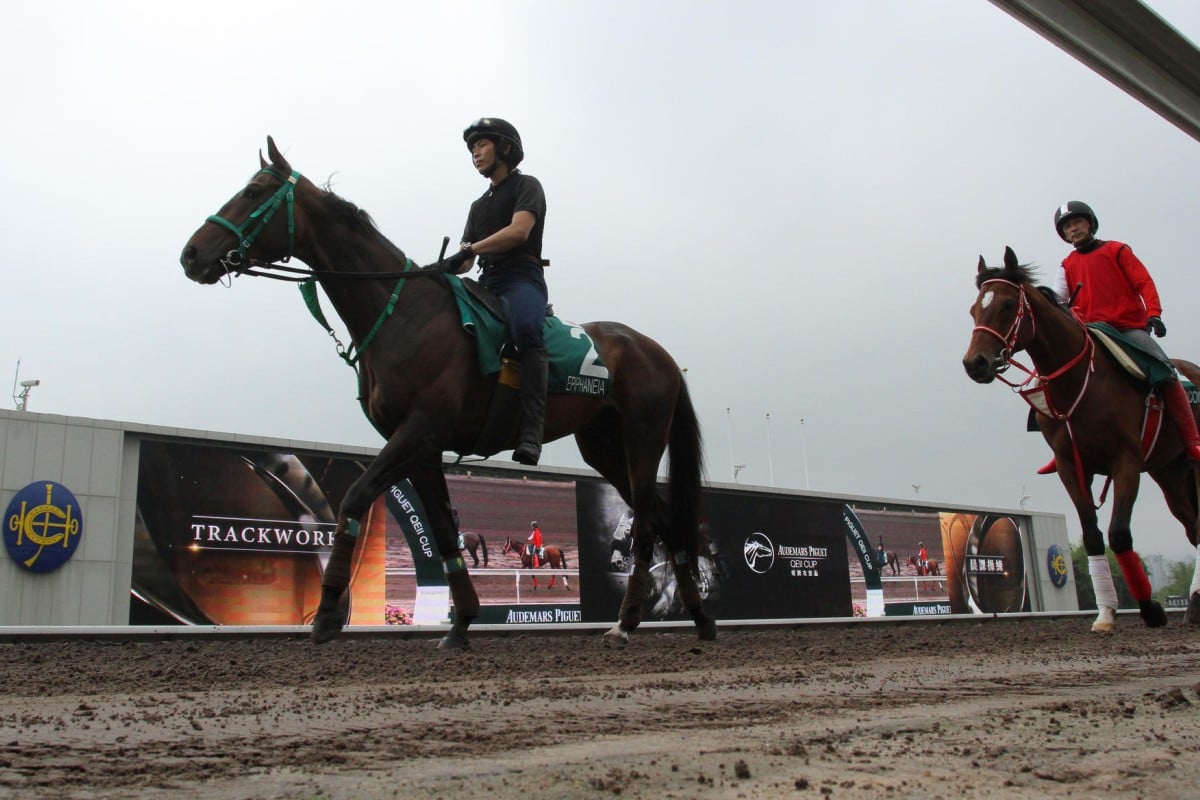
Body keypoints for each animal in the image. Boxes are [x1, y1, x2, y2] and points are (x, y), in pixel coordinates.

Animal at [177, 137, 710, 652]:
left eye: (253, 192)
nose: (191, 255)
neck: (404, 313)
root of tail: (657, 351)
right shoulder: (422, 447)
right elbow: (442, 529)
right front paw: (460, 623)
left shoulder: (417, 430)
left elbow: (355, 497)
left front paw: (327, 614)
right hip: (603, 447)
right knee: (664, 520)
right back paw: (700, 619)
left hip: (642, 441)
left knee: (648, 524)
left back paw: (626, 623)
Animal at [964, 247, 1200, 633]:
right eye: (974, 309)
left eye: (1009, 305)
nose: (976, 363)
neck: (1080, 383)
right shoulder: (1070, 465)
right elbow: (1091, 534)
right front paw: (1105, 613)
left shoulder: (1126, 461)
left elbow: (1118, 532)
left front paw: (1150, 608)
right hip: (1168, 471)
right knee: (1193, 525)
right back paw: (1194, 605)